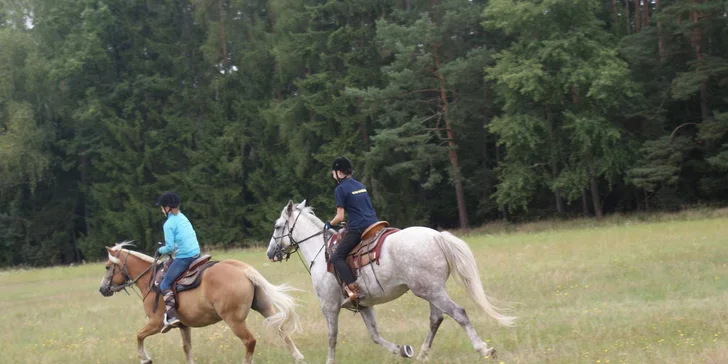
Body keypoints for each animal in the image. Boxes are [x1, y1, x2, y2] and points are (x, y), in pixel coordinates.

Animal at [99, 242, 304, 364]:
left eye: (108, 267)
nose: (102, 289)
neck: (151, 279)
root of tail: (244, 270)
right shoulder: (183, 326)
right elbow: (187, 348)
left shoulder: (156, 323)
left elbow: (139, 335)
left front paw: (145, 358)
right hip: (264, 307)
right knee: (282, 331)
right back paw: (298, 357)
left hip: (234, 320)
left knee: (250, 341)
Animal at [266, 200, 512, 362]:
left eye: (277, 226)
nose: (270, 253)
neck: (321, 251)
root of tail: (436, 236)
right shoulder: (363, 305)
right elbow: (375, 336)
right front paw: (402, 350)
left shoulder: (329, 306)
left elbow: (332, 337)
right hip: (432, 290)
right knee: (436, 319)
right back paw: (422, 354)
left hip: (430, 291)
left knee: (458, 313)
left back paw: (483, 349)